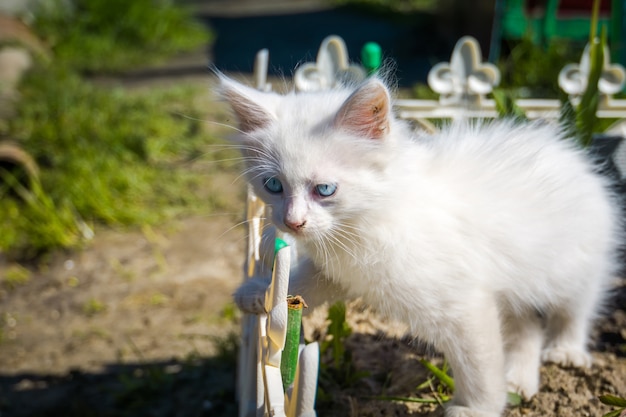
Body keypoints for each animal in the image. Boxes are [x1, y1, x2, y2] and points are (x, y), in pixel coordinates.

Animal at [219, 75, 620, 416]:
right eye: (273, 185)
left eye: (325, 189)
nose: (292, 222)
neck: (371, 220)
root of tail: (570, 153)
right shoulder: (340, 267)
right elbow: (302, 282)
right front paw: (258, 293)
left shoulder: (466, 305)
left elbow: (479, 363)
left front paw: (479, 407)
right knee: (527, 327)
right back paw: (520, 378)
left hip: (576, 264)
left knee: (576, 307)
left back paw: (566, 351)